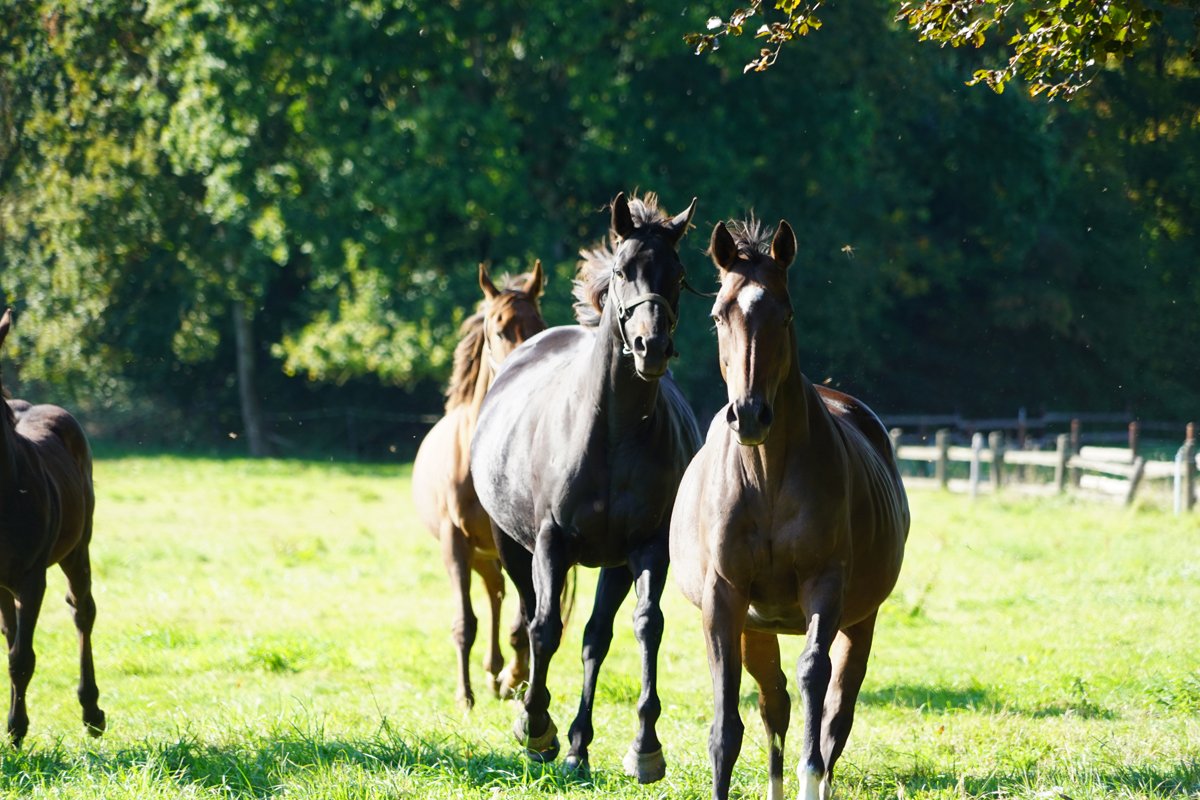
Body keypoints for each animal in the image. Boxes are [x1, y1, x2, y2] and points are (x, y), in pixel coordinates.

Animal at [411, 262, 547, 708]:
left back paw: (504, 674)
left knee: (503, 597)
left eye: (539, 324)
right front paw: (464, 696)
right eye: (498, 328)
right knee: (493, 594)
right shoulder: (455, 542)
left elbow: (523, 621)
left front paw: (514, 679)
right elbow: (465, 622)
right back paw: (490, 671)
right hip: (480, 554)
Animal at [470, 192, 702, 782]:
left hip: (612, 564)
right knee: (531, 616)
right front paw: (534, 730)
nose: (650, 346)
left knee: (596, 638)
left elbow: (646, 627)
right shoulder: (550, 544)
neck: (611, 432)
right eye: (623, 271)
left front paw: (645, 747)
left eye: (678, 275)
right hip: (514, 549)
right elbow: (544, 628)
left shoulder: (648, 547)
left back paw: (579, 746)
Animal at [669, 220, 909, 800]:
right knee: (773, 702)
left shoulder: (824, 585)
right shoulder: (725, 597)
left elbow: (814, 682)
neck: (766, 479)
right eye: (718, 315)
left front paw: (810, 776)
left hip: (860, 620)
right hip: (757, 626)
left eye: (786, 313)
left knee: (836, 708)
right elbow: (727, 722)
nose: (750, 414)